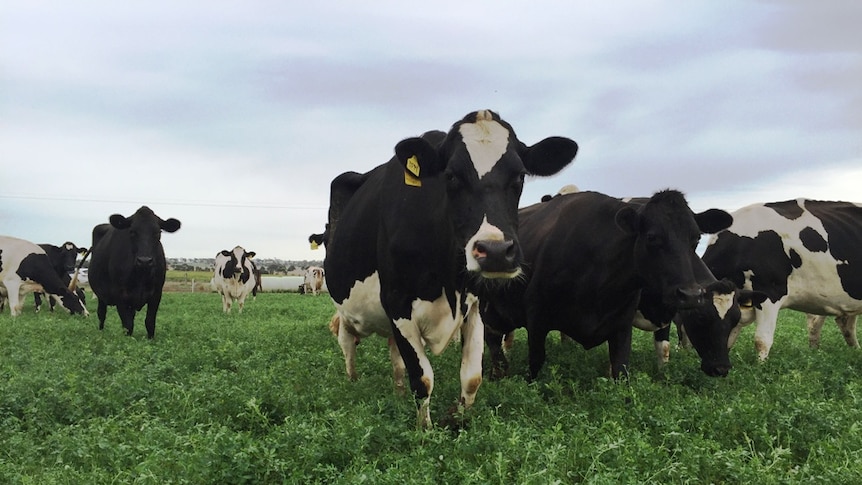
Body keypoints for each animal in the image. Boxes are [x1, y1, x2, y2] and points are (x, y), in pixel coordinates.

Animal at [88, 206, 181, 338]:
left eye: (158, 232)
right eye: (132, 232)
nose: (144, 261)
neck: (140, 275)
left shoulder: (156, 294)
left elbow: (149, 322)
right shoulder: (120, 295)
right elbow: (128, 326)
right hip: (100, 294)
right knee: (101, 313)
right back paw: (101, 333)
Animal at [324, 110, 580, 428]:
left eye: (520, 176)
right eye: (451, 176)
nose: (496, 252)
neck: (447, 281)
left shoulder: (476, 303)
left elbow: (471, 377)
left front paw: (459, 421)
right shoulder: (397, 302)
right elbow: (422, 379)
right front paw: (424, 431)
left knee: (395, 360)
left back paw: (397, 396)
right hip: (343, 305)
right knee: (347, 343)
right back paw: (352, 382)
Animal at [480, 188, 744, 378]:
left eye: (696, 239)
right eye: (652, 237)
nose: (721, 368)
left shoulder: (628, 323)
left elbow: (632, 364)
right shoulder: (537, 318)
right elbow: (535, 364)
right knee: (493, 339)